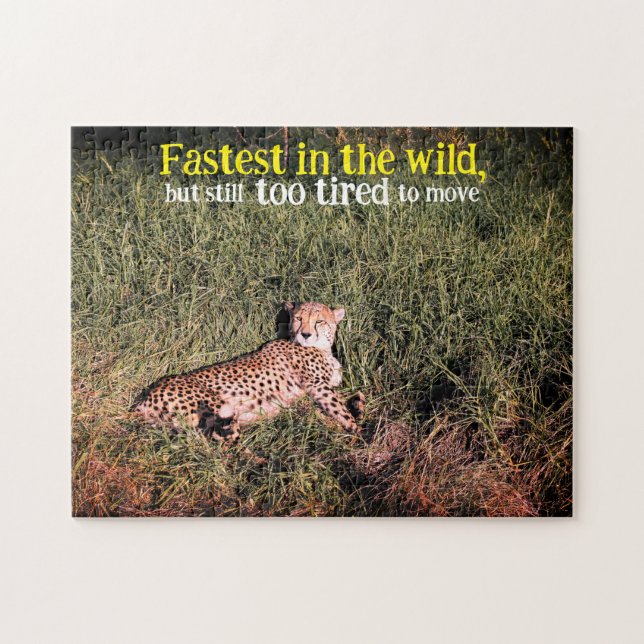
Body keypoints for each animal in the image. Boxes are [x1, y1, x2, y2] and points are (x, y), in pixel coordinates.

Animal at [134, 301, 366, 440]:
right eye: (299, 318)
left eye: (319, 321)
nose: (306, 335)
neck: (321, 348)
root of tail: (146, 396)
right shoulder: (317, 386)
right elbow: (340, 411)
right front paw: (359, 433)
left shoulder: (310, 395)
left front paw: (357, 407)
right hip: (218, 406)